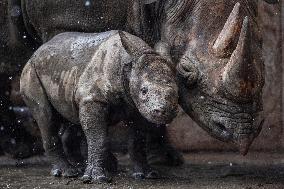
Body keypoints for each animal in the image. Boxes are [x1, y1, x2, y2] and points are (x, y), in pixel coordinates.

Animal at [20, 30, 178, 182]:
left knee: (72, 117)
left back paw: (85, 167)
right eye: (144, 91)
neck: (129, 62)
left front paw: (147, 174)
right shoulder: (92, 98)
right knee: (46, 116)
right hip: (31, 71)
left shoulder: (138, 107)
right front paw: (96, 178)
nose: (163, 111)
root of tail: (37, 51)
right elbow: (99, 139)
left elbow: (137, 141)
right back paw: (68, 172)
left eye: (176, 93)